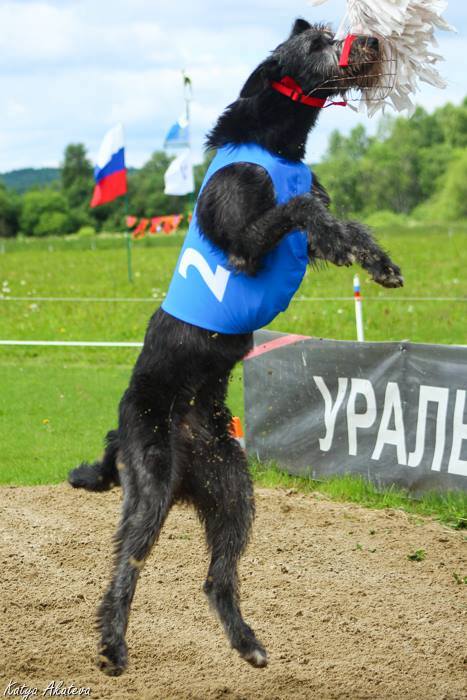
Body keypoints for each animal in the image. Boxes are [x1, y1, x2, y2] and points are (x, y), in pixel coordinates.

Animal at [68, 19, 402, 676]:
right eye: (319, 41)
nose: (372, 42)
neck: (276, 145)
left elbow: (334, 223)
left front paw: (376, 260)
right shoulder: (248, 243)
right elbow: (299, 208)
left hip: (234, 493)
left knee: (216, 578)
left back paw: (247, 642)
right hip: (150, 485)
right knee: (125, 566)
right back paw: (112, 646)